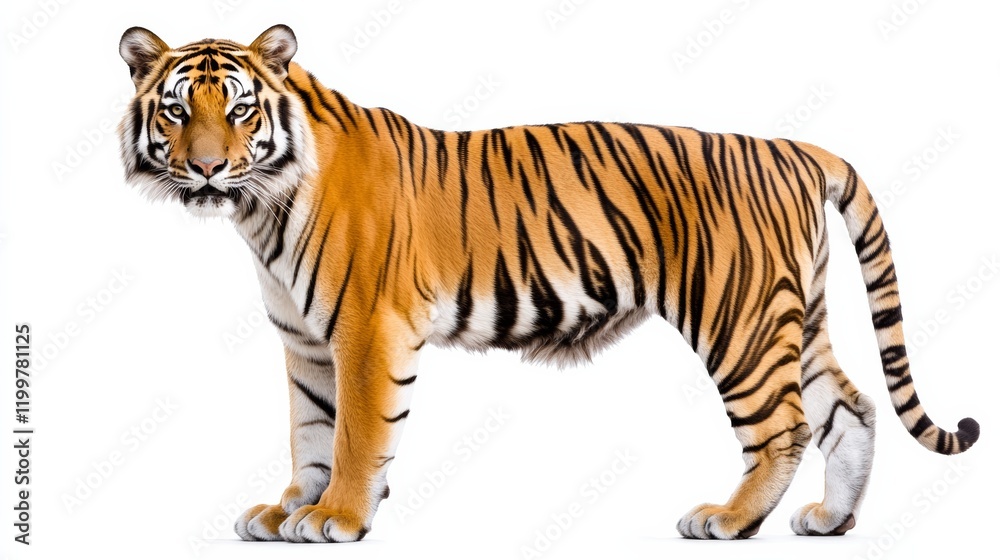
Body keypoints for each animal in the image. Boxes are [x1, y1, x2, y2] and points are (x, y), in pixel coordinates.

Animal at [117, 24, 979, 543]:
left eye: (237, 109)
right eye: (176, 111)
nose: (206, 167)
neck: (262, 205)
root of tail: (791, 147)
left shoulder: (366, 330)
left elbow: (357, 434)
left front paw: (339, 518)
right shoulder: (305, 341)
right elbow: (310, 430)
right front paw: (292, 509)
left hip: (739, 318)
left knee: (787, 426)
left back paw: (728, 520)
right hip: (791, 315)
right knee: (853, 407)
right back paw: (832, 519)